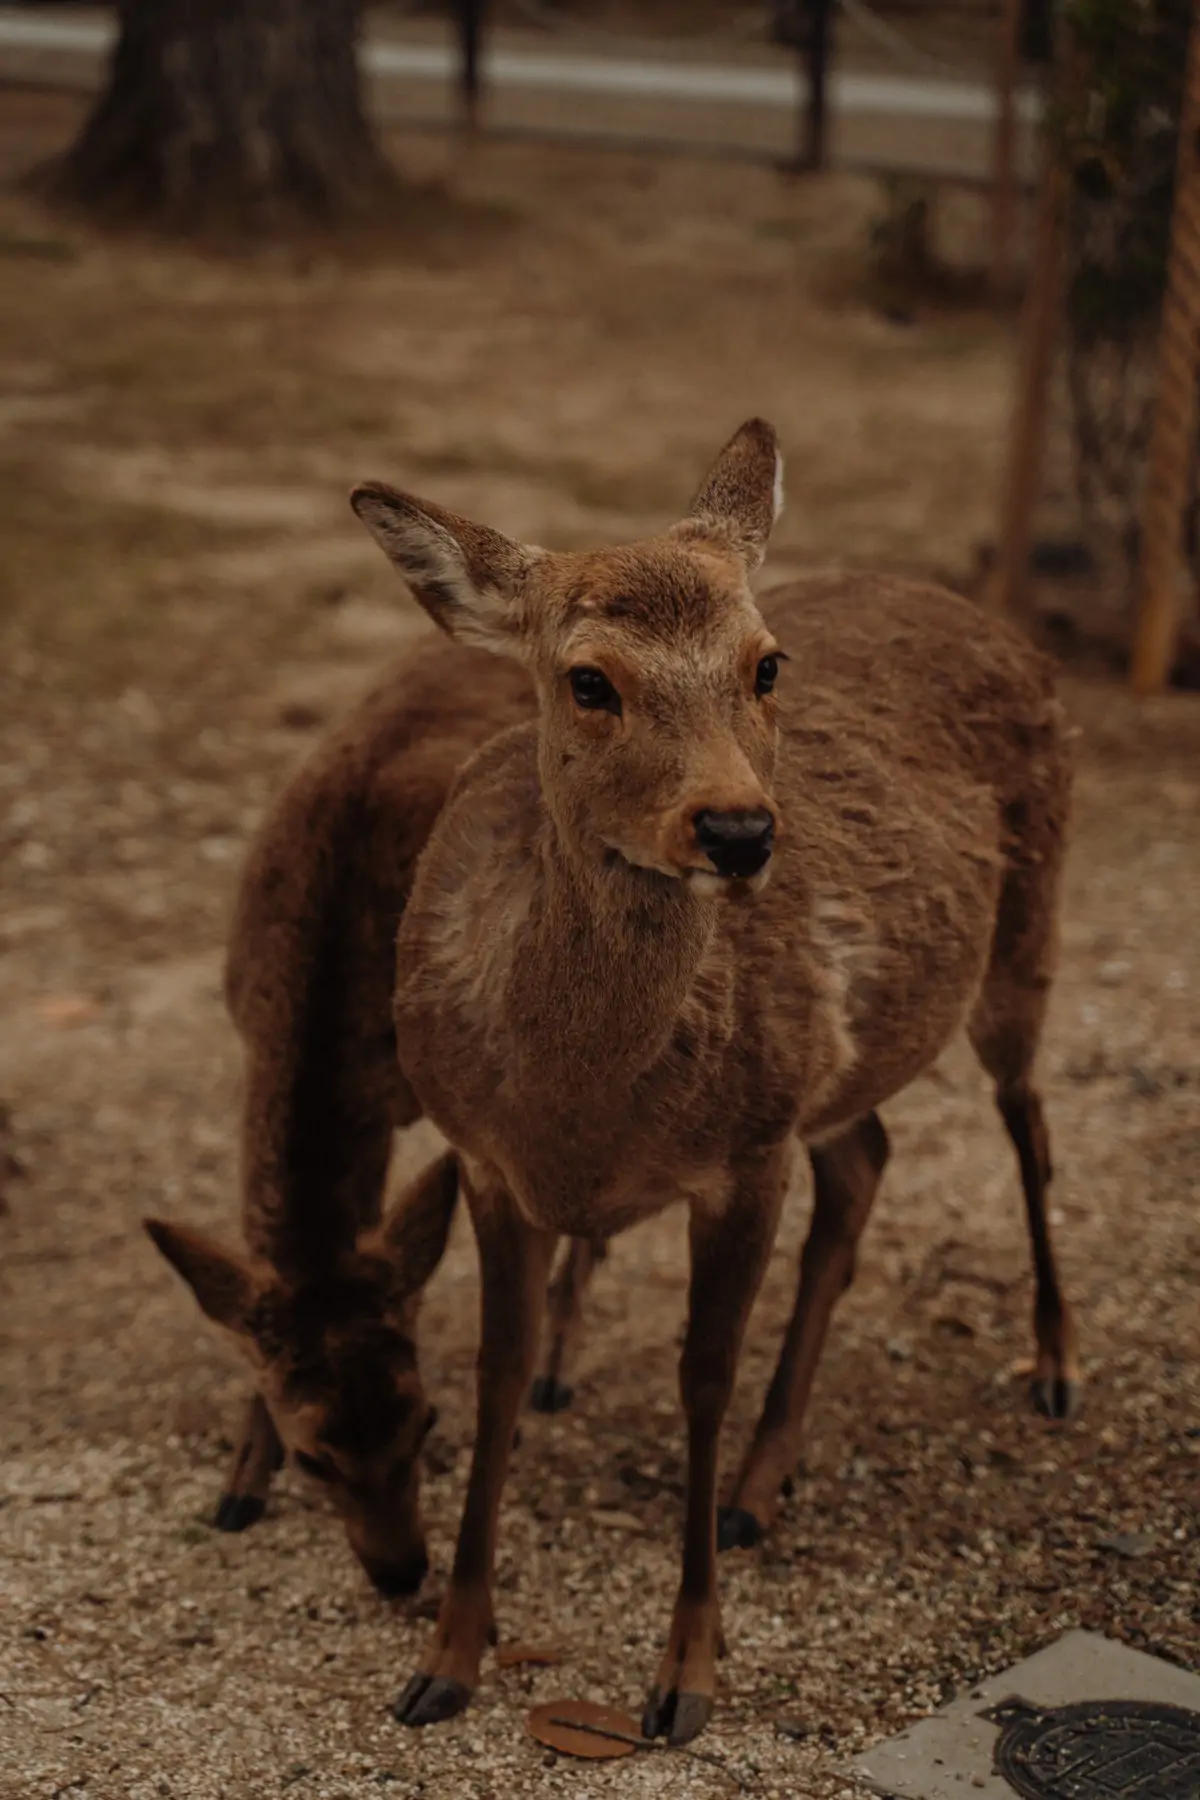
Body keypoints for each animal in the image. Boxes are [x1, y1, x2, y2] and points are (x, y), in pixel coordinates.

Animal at [354, 417, 1079, 1742]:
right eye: (588, 679)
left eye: (766, 664)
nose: (740, 830)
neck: (576, 1110)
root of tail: (994, 617)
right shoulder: (485, 1157)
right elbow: (494, 1376)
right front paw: (445, 1659)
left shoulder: (742, 1156)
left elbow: (701, 1376)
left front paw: (684, 1675)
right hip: (835, 1070)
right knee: (868, 1160)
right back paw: (760, 1485)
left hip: (1026, 934)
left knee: (1028, 1120)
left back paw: (1053, 1367)